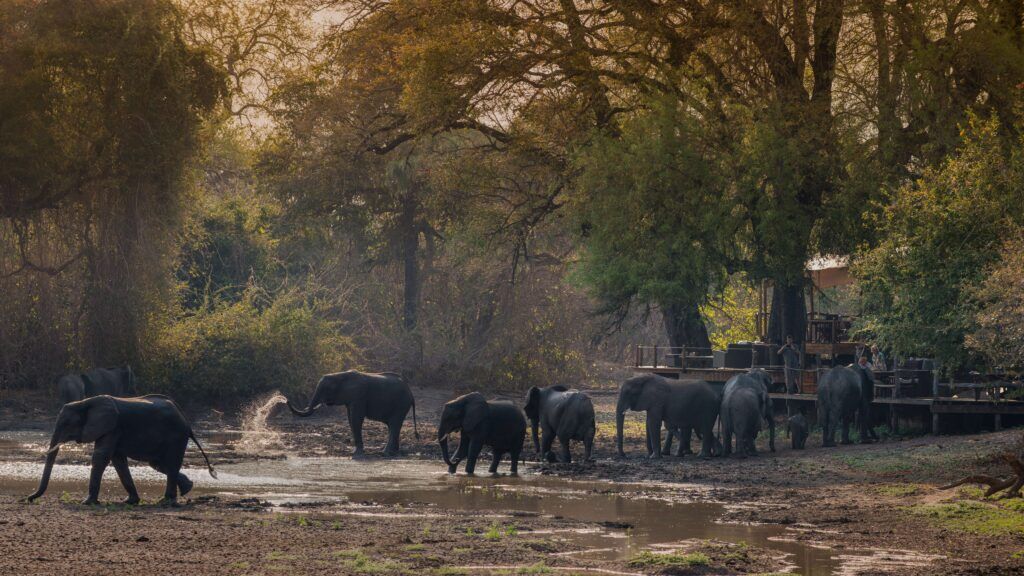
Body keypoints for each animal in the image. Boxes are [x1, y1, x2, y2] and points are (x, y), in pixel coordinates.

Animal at [26, 395, 216, 506]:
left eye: (66, 424)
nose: (28, 498)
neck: (85, 402)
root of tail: (187, 422)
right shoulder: (112, 430)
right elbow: (118, 460)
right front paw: (130, 501)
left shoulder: (112, 427)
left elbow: (101, 457)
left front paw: (87, 502)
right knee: (160, 464)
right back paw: (186, 489)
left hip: (176, 436)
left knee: (170, 463)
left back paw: (166, 501)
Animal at [287, 370, 418, 457]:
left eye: (327, 389)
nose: (286, 399)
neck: (340, 375)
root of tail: (411, 393)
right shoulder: (350, 400)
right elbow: (351, 419)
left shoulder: (358, 396)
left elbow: (356, 419)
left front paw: (356, 454)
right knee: (393, 426)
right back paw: (393, 453)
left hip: (401, 404)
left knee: (394, 425)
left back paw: (385, 453)